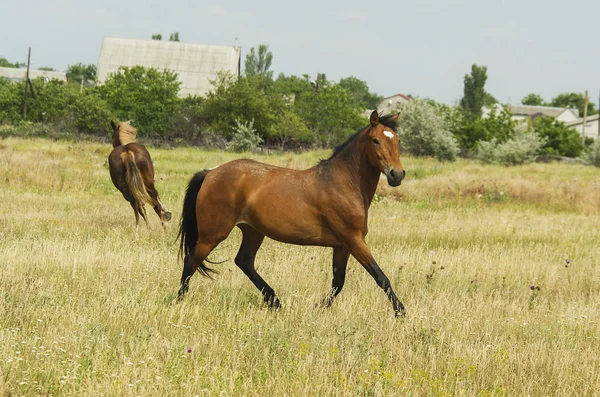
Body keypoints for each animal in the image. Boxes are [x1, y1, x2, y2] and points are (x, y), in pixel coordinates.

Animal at [178, 110, 408, 316]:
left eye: (397, 140)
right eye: (375, 140)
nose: (396, 175)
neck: (343, 183)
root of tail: (211, 173)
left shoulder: (342, 245)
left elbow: (338, 282)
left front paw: (318, 309)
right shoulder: (354, 240)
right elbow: (380, 277)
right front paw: (400, 312)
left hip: (253, 231)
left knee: (244, 261)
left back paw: (275, 301)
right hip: (213, 234)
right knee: (191, 261)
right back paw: (179, 300)